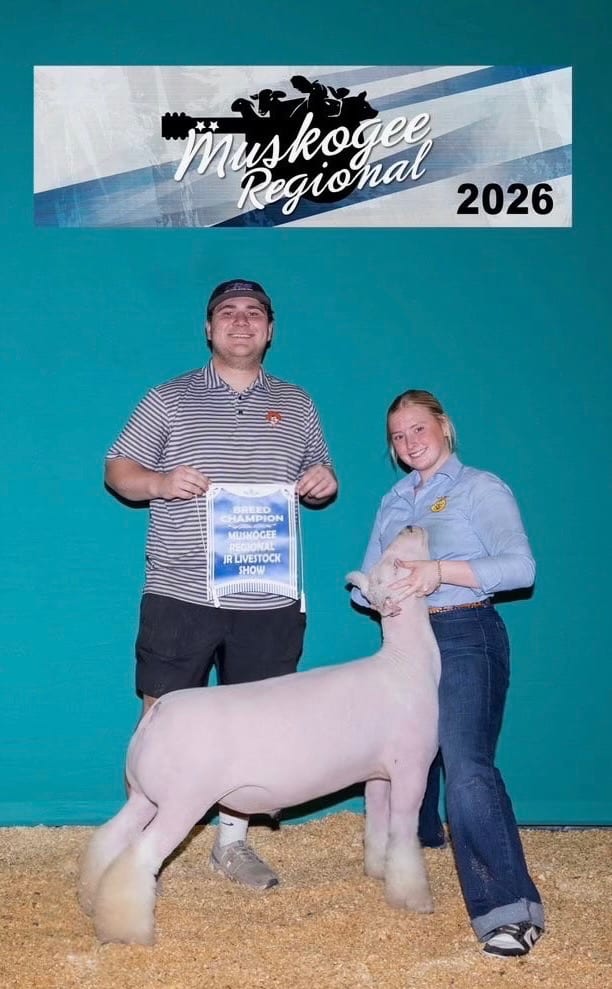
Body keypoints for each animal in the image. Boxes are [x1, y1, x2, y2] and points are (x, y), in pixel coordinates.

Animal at [78, 525, 440, 945]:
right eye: (395, 563)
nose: (412, 526)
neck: (406, 663)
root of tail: (157, 714)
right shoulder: (411, 766)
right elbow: (404, 835)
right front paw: (415, 899)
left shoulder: (378, 774)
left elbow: (379, 826)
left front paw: (378, 873)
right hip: (181, 802)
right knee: (138, 856)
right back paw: (128, 932)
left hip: (146, 796)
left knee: (109, 838)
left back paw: (92, 900)